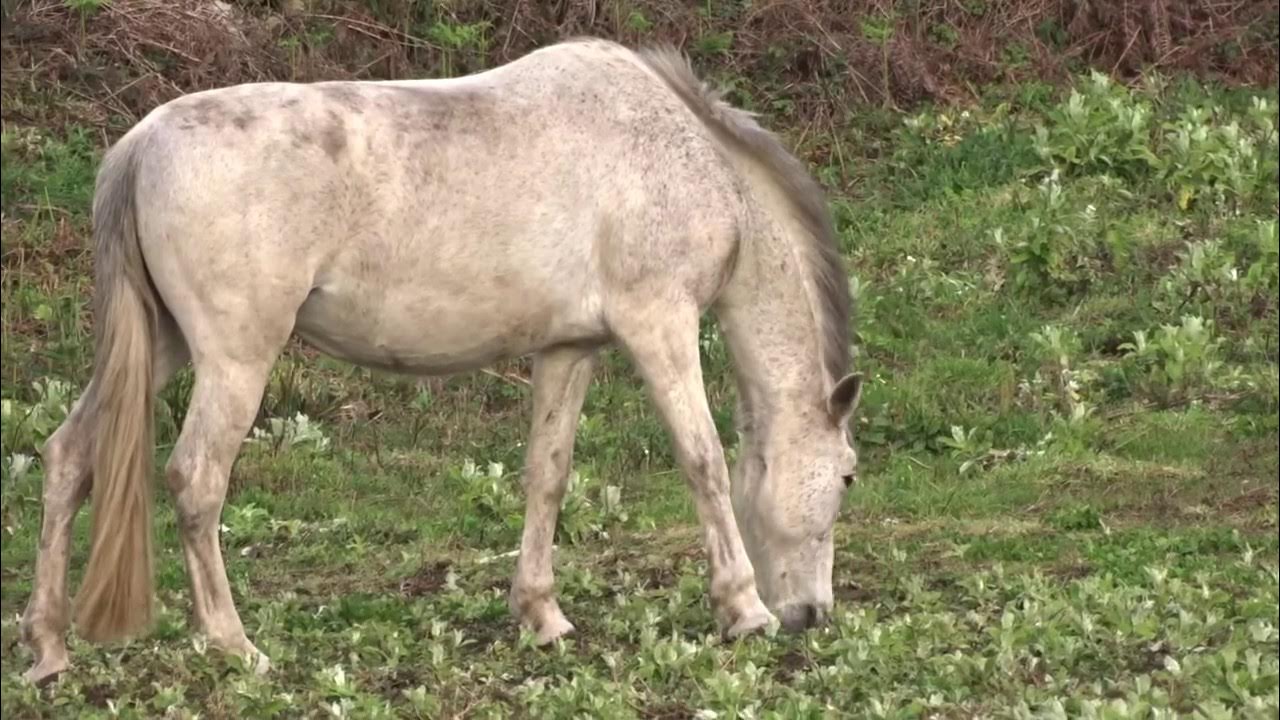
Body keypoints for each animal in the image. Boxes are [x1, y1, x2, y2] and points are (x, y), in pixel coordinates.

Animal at [20, 36, 865, 681]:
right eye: (849, 475)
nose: (813, 614)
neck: (681, 155)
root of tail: (139, 144)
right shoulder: (659, 325)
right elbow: (704, 461)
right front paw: (743, 609)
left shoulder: (569, 349)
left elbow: (547, 475)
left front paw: (542, 616)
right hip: (234, 361)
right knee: (196, 481)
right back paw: (236, 646)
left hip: (159, 347)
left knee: (68, 458)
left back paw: (49, 649)